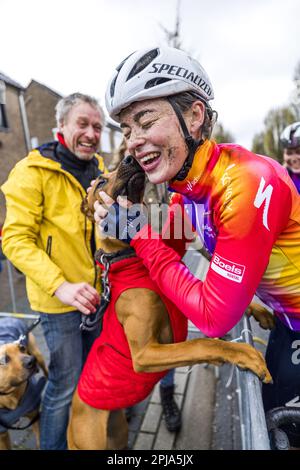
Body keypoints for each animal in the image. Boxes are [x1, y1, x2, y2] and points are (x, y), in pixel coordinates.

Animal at [0, 318, 47, 450]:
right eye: (4, 359)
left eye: (21, 348)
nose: (32, 361)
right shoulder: (2, 434)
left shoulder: (35, 417)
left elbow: (40, 442)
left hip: (38, 355)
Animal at [67, 156, 272, 450]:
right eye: (101, 181)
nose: (130, 157)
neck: (133, 261)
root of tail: (72, 418)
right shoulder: (144, 354)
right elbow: (202, 343)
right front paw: (243, 354)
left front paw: (258, 311)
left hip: (116, 432)